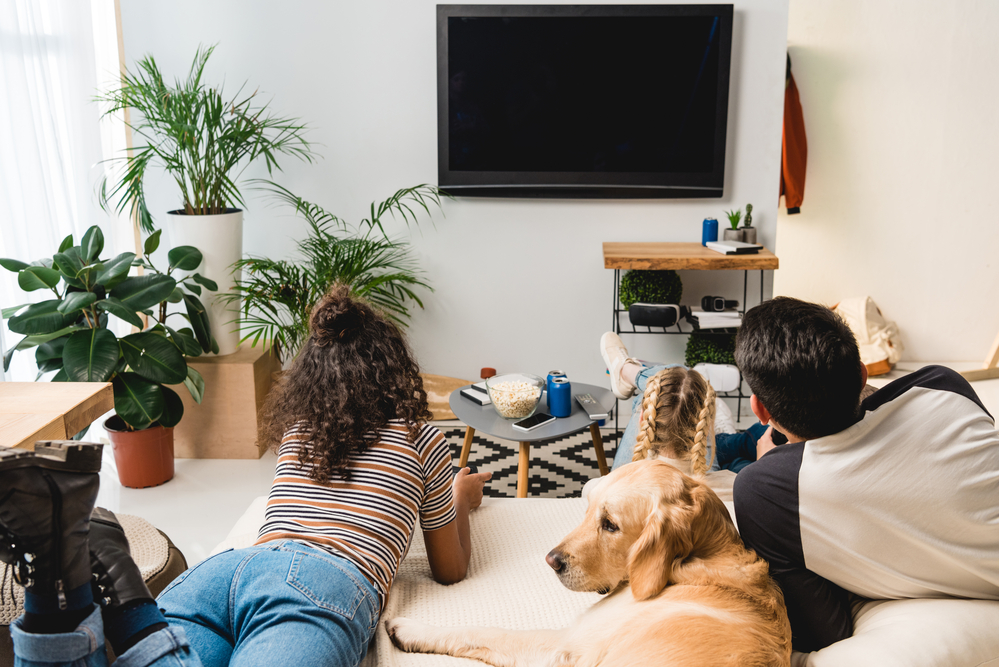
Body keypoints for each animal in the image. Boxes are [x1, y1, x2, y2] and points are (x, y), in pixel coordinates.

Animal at [386, 460, 792, 667]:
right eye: (587, 509)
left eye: (610, 524)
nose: (550, 560)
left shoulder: (567, 648)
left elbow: (486, 631)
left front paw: (410, 627)